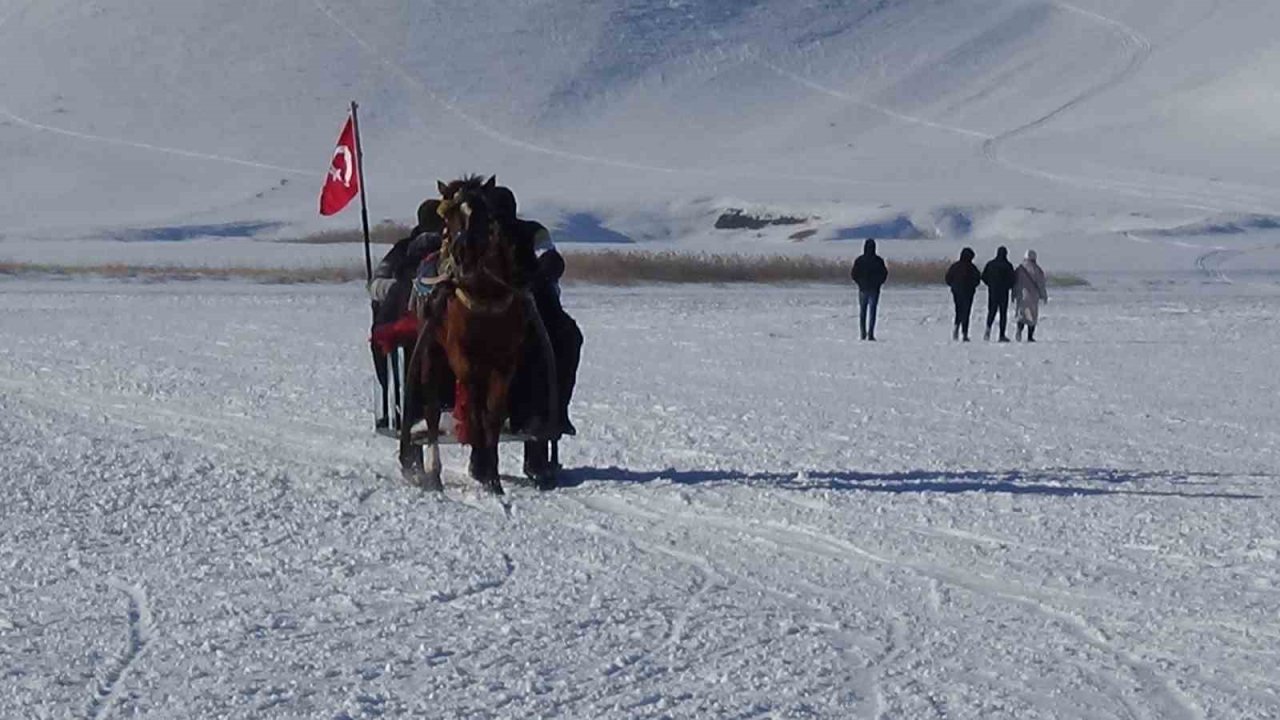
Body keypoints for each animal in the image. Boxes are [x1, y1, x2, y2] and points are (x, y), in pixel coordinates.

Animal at [396, 175, 522, 491]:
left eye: (484, 214)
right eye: (448, 217)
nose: (463, 255)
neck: (484, 297)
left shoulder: (504, 362)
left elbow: (493, 415)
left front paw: (491, 476)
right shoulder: (464, 359)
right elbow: (475, 412)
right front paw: (482, 467)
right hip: (431, 349)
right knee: (430, 410)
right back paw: (434, 472)